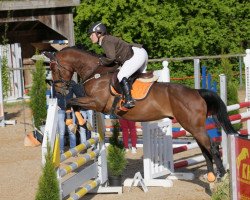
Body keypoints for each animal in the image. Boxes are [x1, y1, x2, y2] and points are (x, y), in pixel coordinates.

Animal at [44, 46, 236, 182]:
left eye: (53, 68)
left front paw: (81, 123)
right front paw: (84, 123)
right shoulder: (93, 103)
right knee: (205, 149)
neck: (96, 73)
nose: (60, 90)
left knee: (212, 146)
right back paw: (211, 175)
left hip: (193, 126)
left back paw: (221, 174)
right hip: (193, 127)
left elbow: (72, 102)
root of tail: (196, 92)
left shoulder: (97, 103)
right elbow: (73, 104)